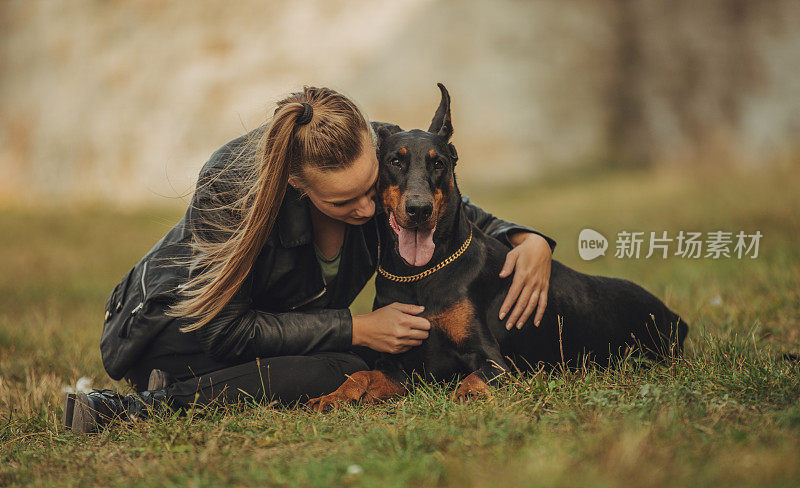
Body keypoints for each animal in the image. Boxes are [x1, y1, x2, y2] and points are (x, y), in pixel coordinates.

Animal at [306, 83, 688, 408]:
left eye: (438, 163)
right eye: (395, 161)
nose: (419, 210)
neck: (420, 275)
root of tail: (676, 318)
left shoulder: (494, 361)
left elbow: (473, 380)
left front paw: (465, 398)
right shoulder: (400, 361)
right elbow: (361, 373)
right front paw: (332, 397)